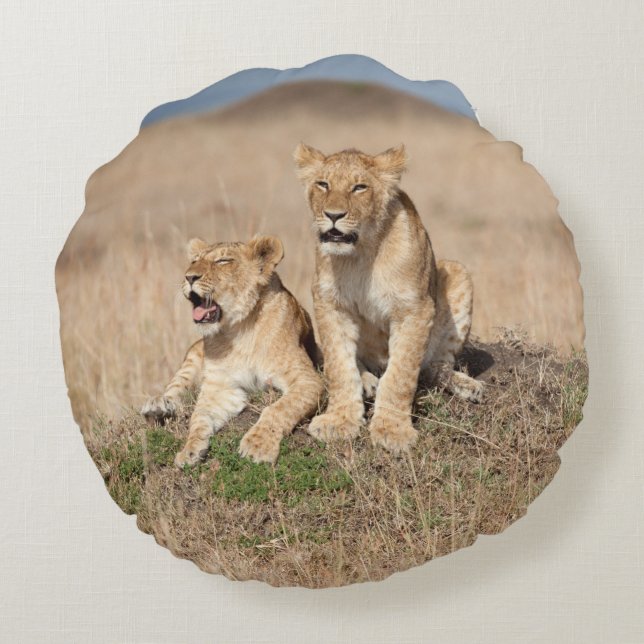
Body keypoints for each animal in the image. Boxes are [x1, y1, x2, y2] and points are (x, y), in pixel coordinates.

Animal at [141, 235, 323, 466]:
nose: (189, 277)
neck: (239, 329)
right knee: (176, 388)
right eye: (194, 261)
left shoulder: (308, 379)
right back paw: (157, 406)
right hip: (192, 355)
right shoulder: (221, 387)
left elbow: (279, 408)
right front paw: (190, 450)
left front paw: (258, 446)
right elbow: (199, 417)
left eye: (223, 261)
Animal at [293, 143, 483, 454]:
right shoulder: (331, 304)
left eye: (359, 187)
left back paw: (467, 386)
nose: (333, 215)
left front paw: (392, 431)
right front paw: (339, 421)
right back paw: (367, 380)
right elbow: (338, 366)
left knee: (434, 367)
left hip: (458, 272)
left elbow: (401, 374)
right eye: (323, 184)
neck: (361, 253)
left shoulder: (414, 309)